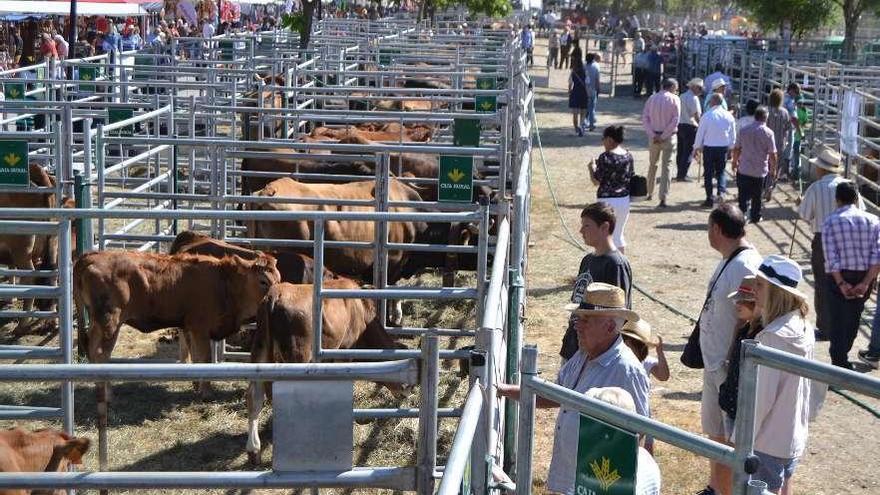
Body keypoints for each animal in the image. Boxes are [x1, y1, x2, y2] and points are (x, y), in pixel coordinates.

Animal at [244, 280, 402, 464]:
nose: (409, 388)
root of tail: (276, 293)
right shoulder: (345, 350)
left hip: (259, 348)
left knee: (254, 396)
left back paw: (254, 450)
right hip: (297, 355)